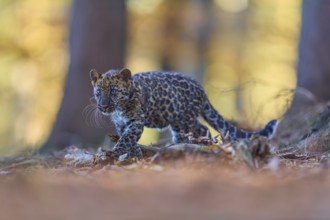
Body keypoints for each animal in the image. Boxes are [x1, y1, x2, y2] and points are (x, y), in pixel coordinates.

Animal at [89, 68, 278, 158]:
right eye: (98, 92)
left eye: (113, 91)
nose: (103, 106)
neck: (119, 109)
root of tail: (201, 89)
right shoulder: (122, 124)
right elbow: (128, 138)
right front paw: (134, 154)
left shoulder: (136, 122)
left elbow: (127, 138)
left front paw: (114, 152)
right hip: (178, 121)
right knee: (190, 132)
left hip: (184, 119)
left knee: (200, 129)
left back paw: (197, 145)